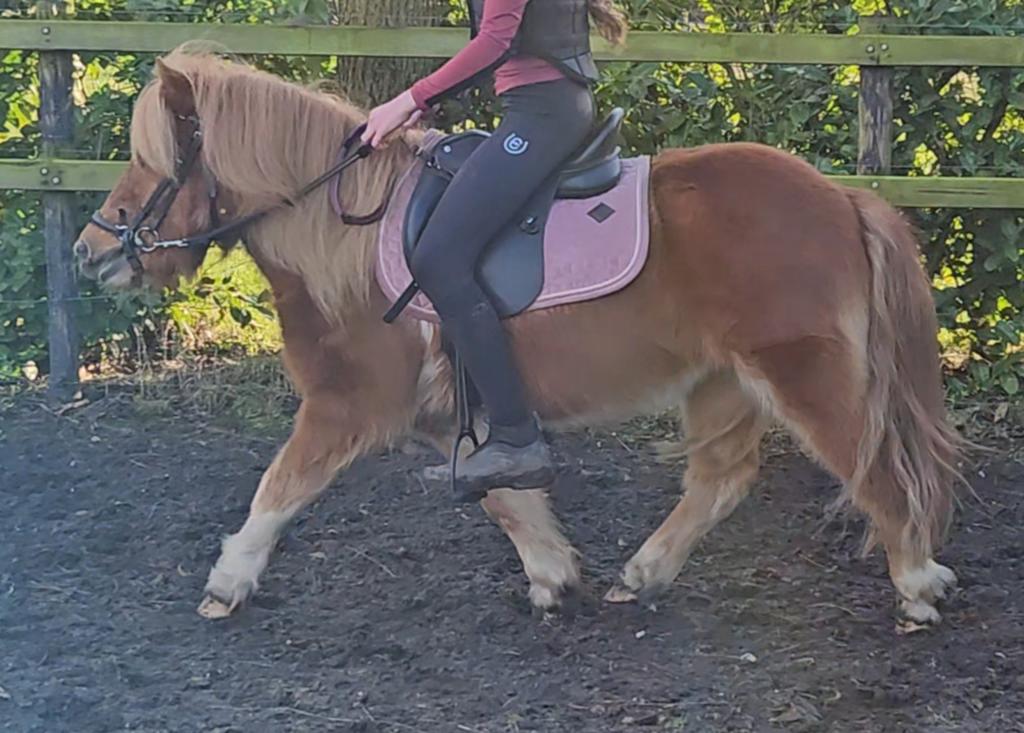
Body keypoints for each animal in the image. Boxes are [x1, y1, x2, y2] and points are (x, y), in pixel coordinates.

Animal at [74, 49, 962, 626]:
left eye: (153, 162)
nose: (90, 252)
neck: (340, 237)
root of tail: (843, 197)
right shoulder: (444, 413)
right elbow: (507, 496)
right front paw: (554, 574)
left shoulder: (348, 403)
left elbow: (278, 488)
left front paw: (227, 581)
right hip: (719, 380)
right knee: (722, 478)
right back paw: (642, 573)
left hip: (802, 375)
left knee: (876, 469)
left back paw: (918, 582)